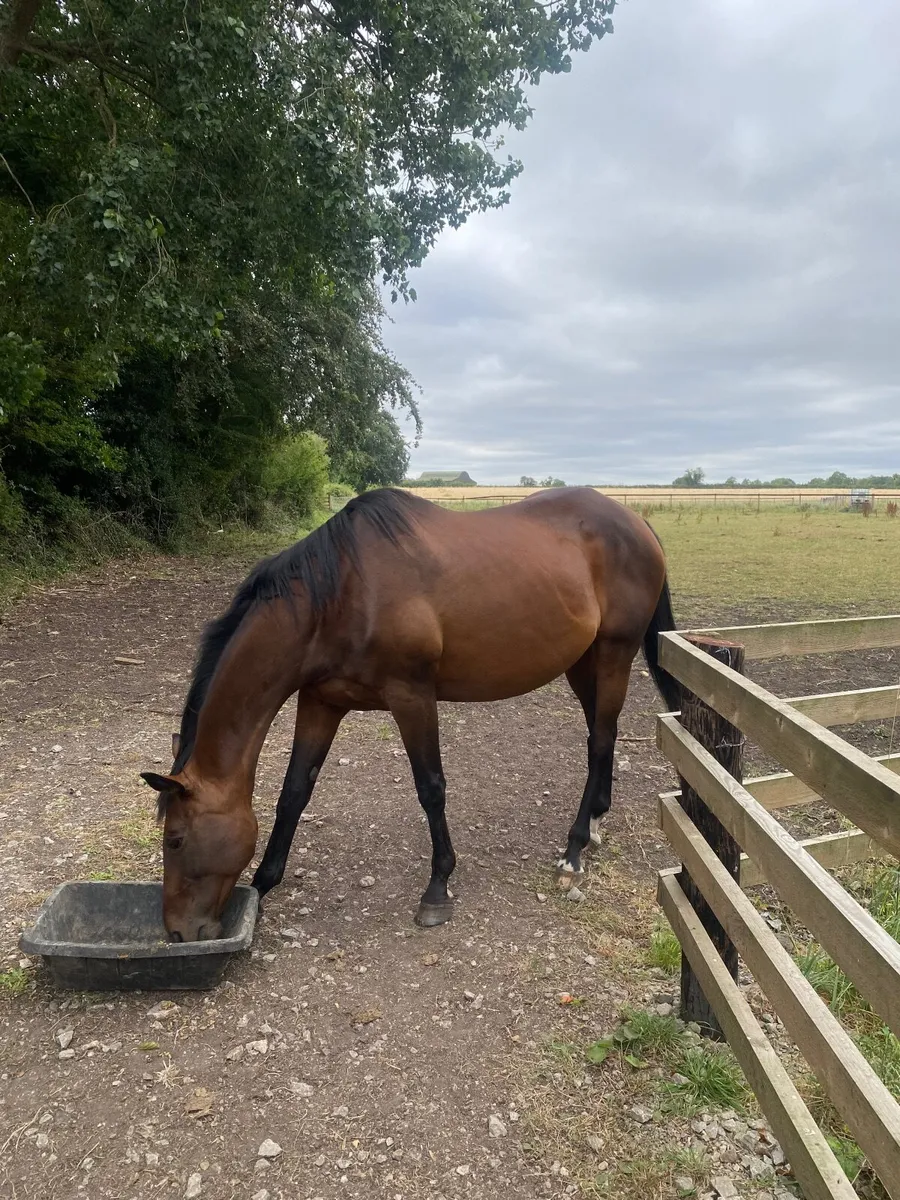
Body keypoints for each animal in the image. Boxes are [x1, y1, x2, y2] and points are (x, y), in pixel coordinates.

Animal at [141, 487, 680, 942]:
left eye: (175, 840)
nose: (178, 933)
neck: (341, 591)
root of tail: (638, 523)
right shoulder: (321, 701)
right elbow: (294, 792)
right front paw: (264, 881)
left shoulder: (411, 696)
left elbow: (431, 788)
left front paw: (437, 889)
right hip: (582, 663)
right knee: (600, 736)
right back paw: (595, 824)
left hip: (614, 654)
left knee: (601, 739)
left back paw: (573, 849)